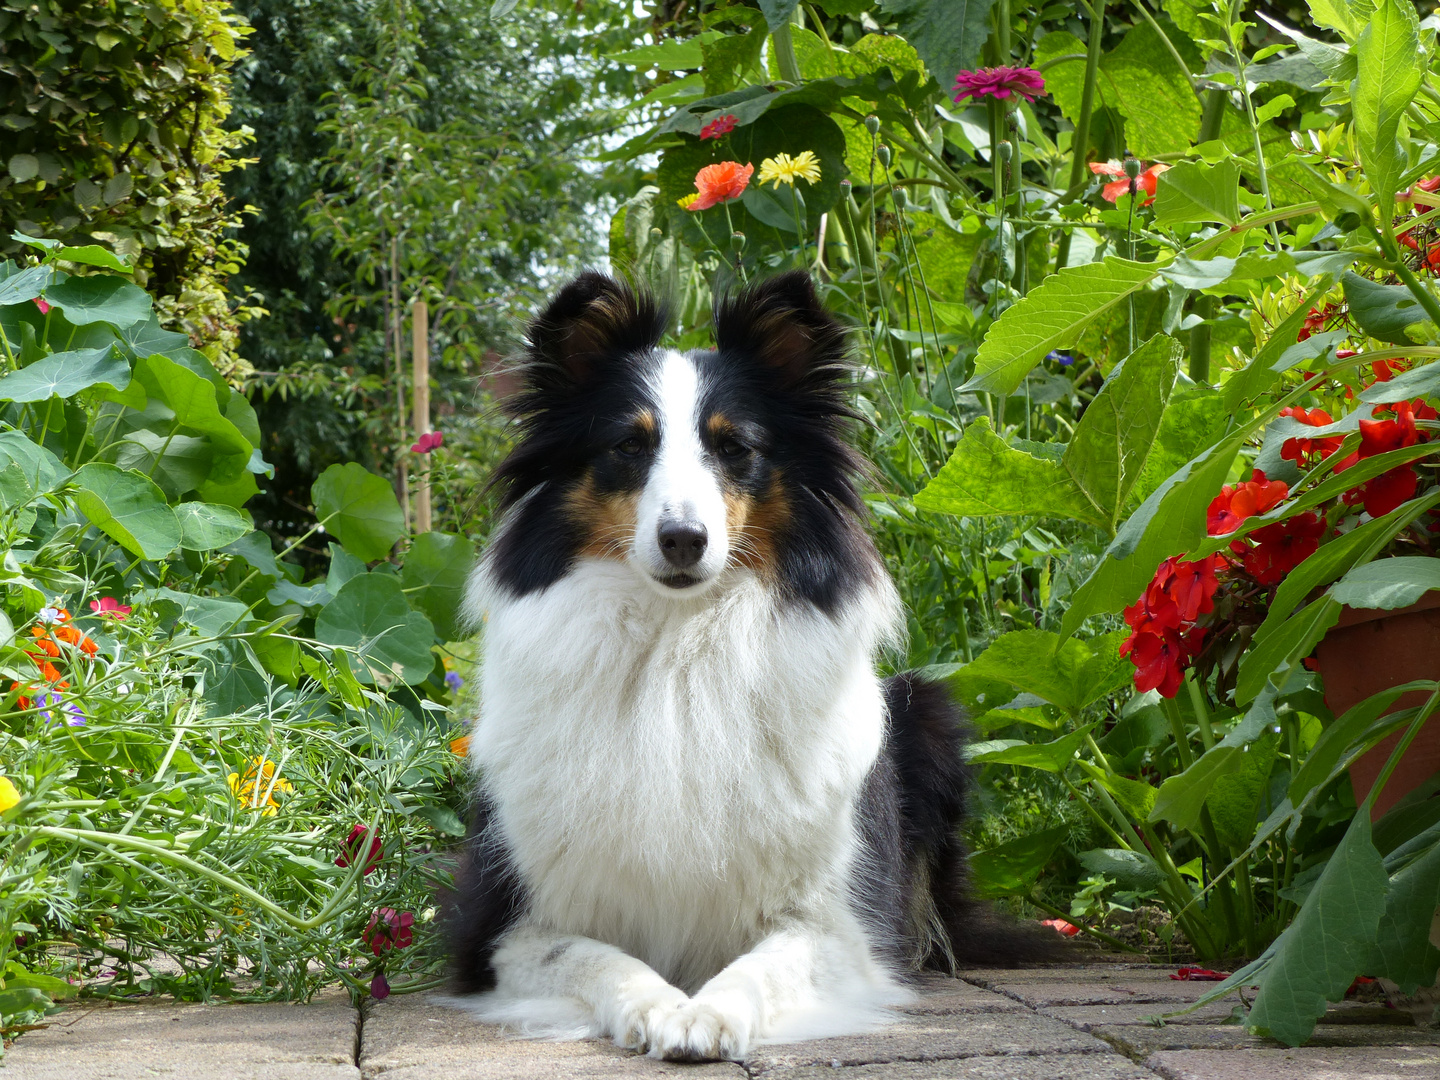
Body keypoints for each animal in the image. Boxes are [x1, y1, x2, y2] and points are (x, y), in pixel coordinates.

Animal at [443, 270, 1054, 1065]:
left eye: (733, 447)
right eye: (628, 445)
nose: (683, 539)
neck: (678, 649)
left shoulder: (840, 927)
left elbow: (764, 964)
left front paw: (707, 1012)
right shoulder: (503, 929)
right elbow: (598, 957)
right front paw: (659, 1005)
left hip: (927, 711)